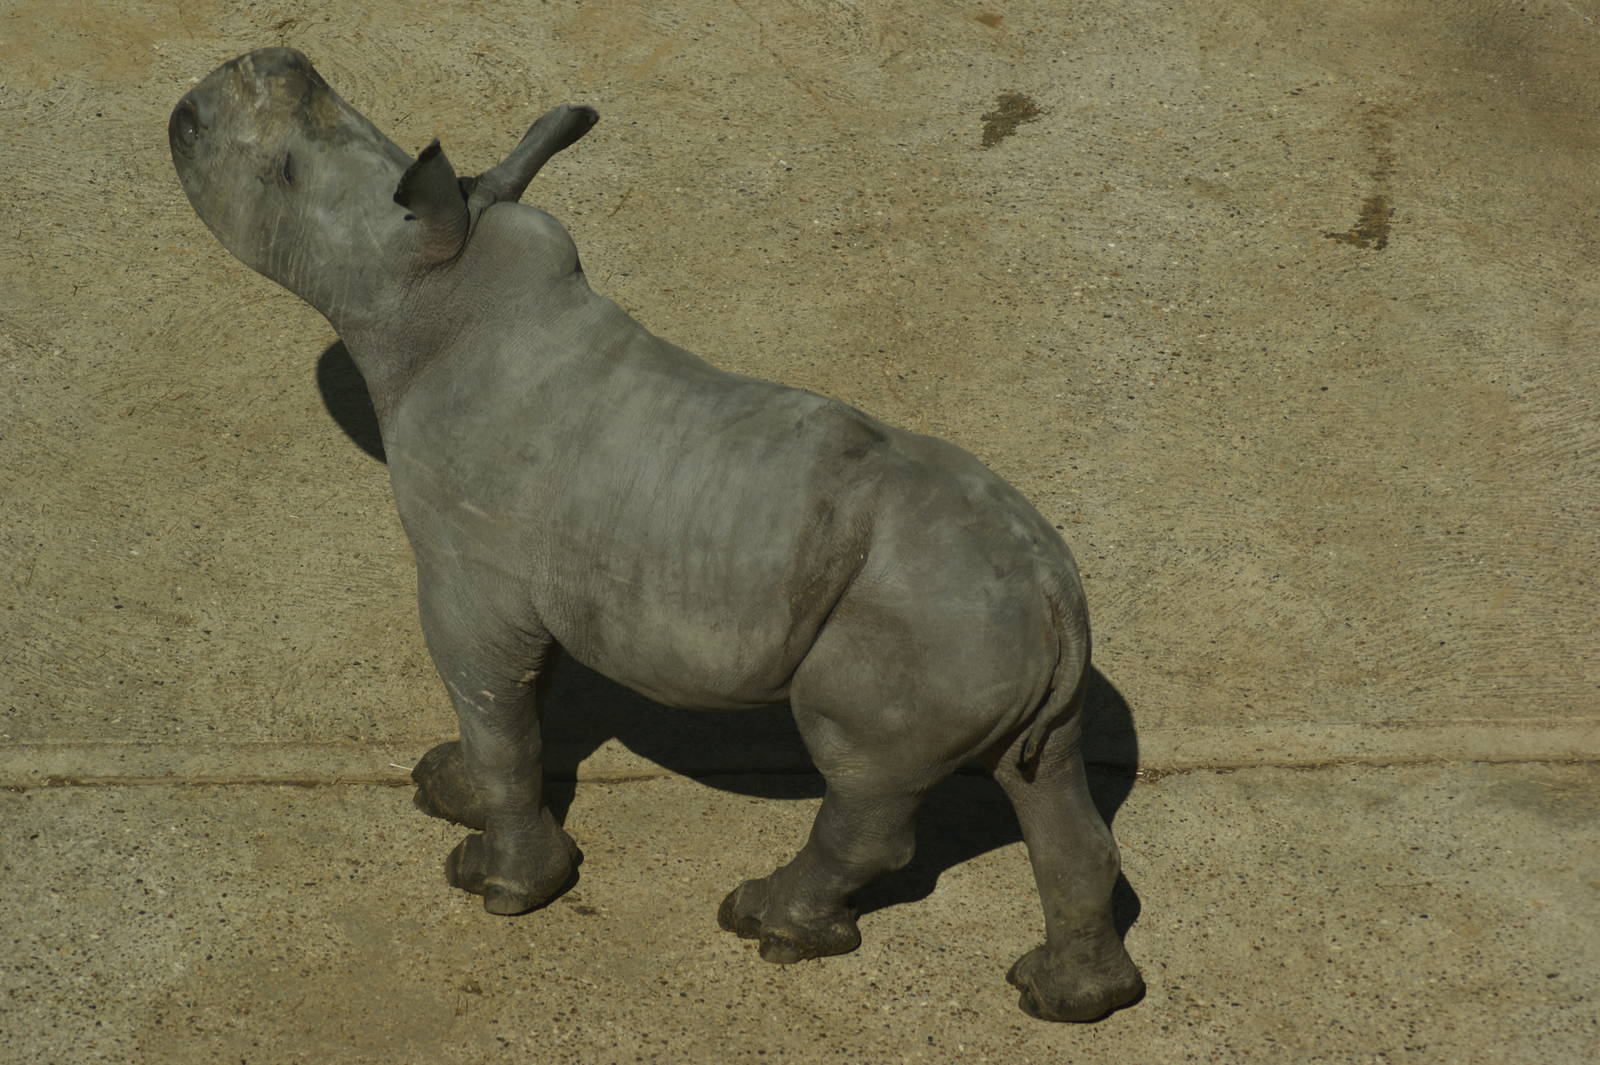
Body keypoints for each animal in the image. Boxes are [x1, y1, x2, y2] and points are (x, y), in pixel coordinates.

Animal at [168, 47, 1144, 1022]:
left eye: (281, 175)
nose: (230, 77)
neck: (437, 293)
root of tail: (1055, 598)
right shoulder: (531, 581)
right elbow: (519, 705)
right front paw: (446, 787)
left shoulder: (468, 577)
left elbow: (495, 714)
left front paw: (502, 888)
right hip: (994, 630)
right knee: (1046, 775)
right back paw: (1064, 999)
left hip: (929, 625)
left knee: (865, 778)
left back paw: (762, 924)